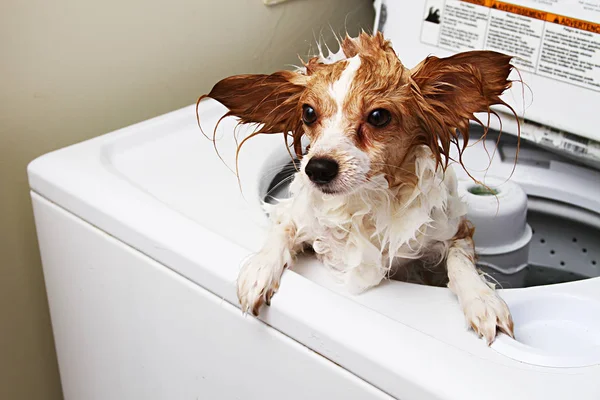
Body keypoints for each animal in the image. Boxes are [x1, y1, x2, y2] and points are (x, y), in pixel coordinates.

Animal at [199, 32, 516, 344]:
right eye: (308, 113)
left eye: (378, 117)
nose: (317, 168)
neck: (367, 200)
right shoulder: (296, 215)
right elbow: (281, 232)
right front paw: (259, 269)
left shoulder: (457, 231)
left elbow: (460, 261)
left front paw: (482, 299)